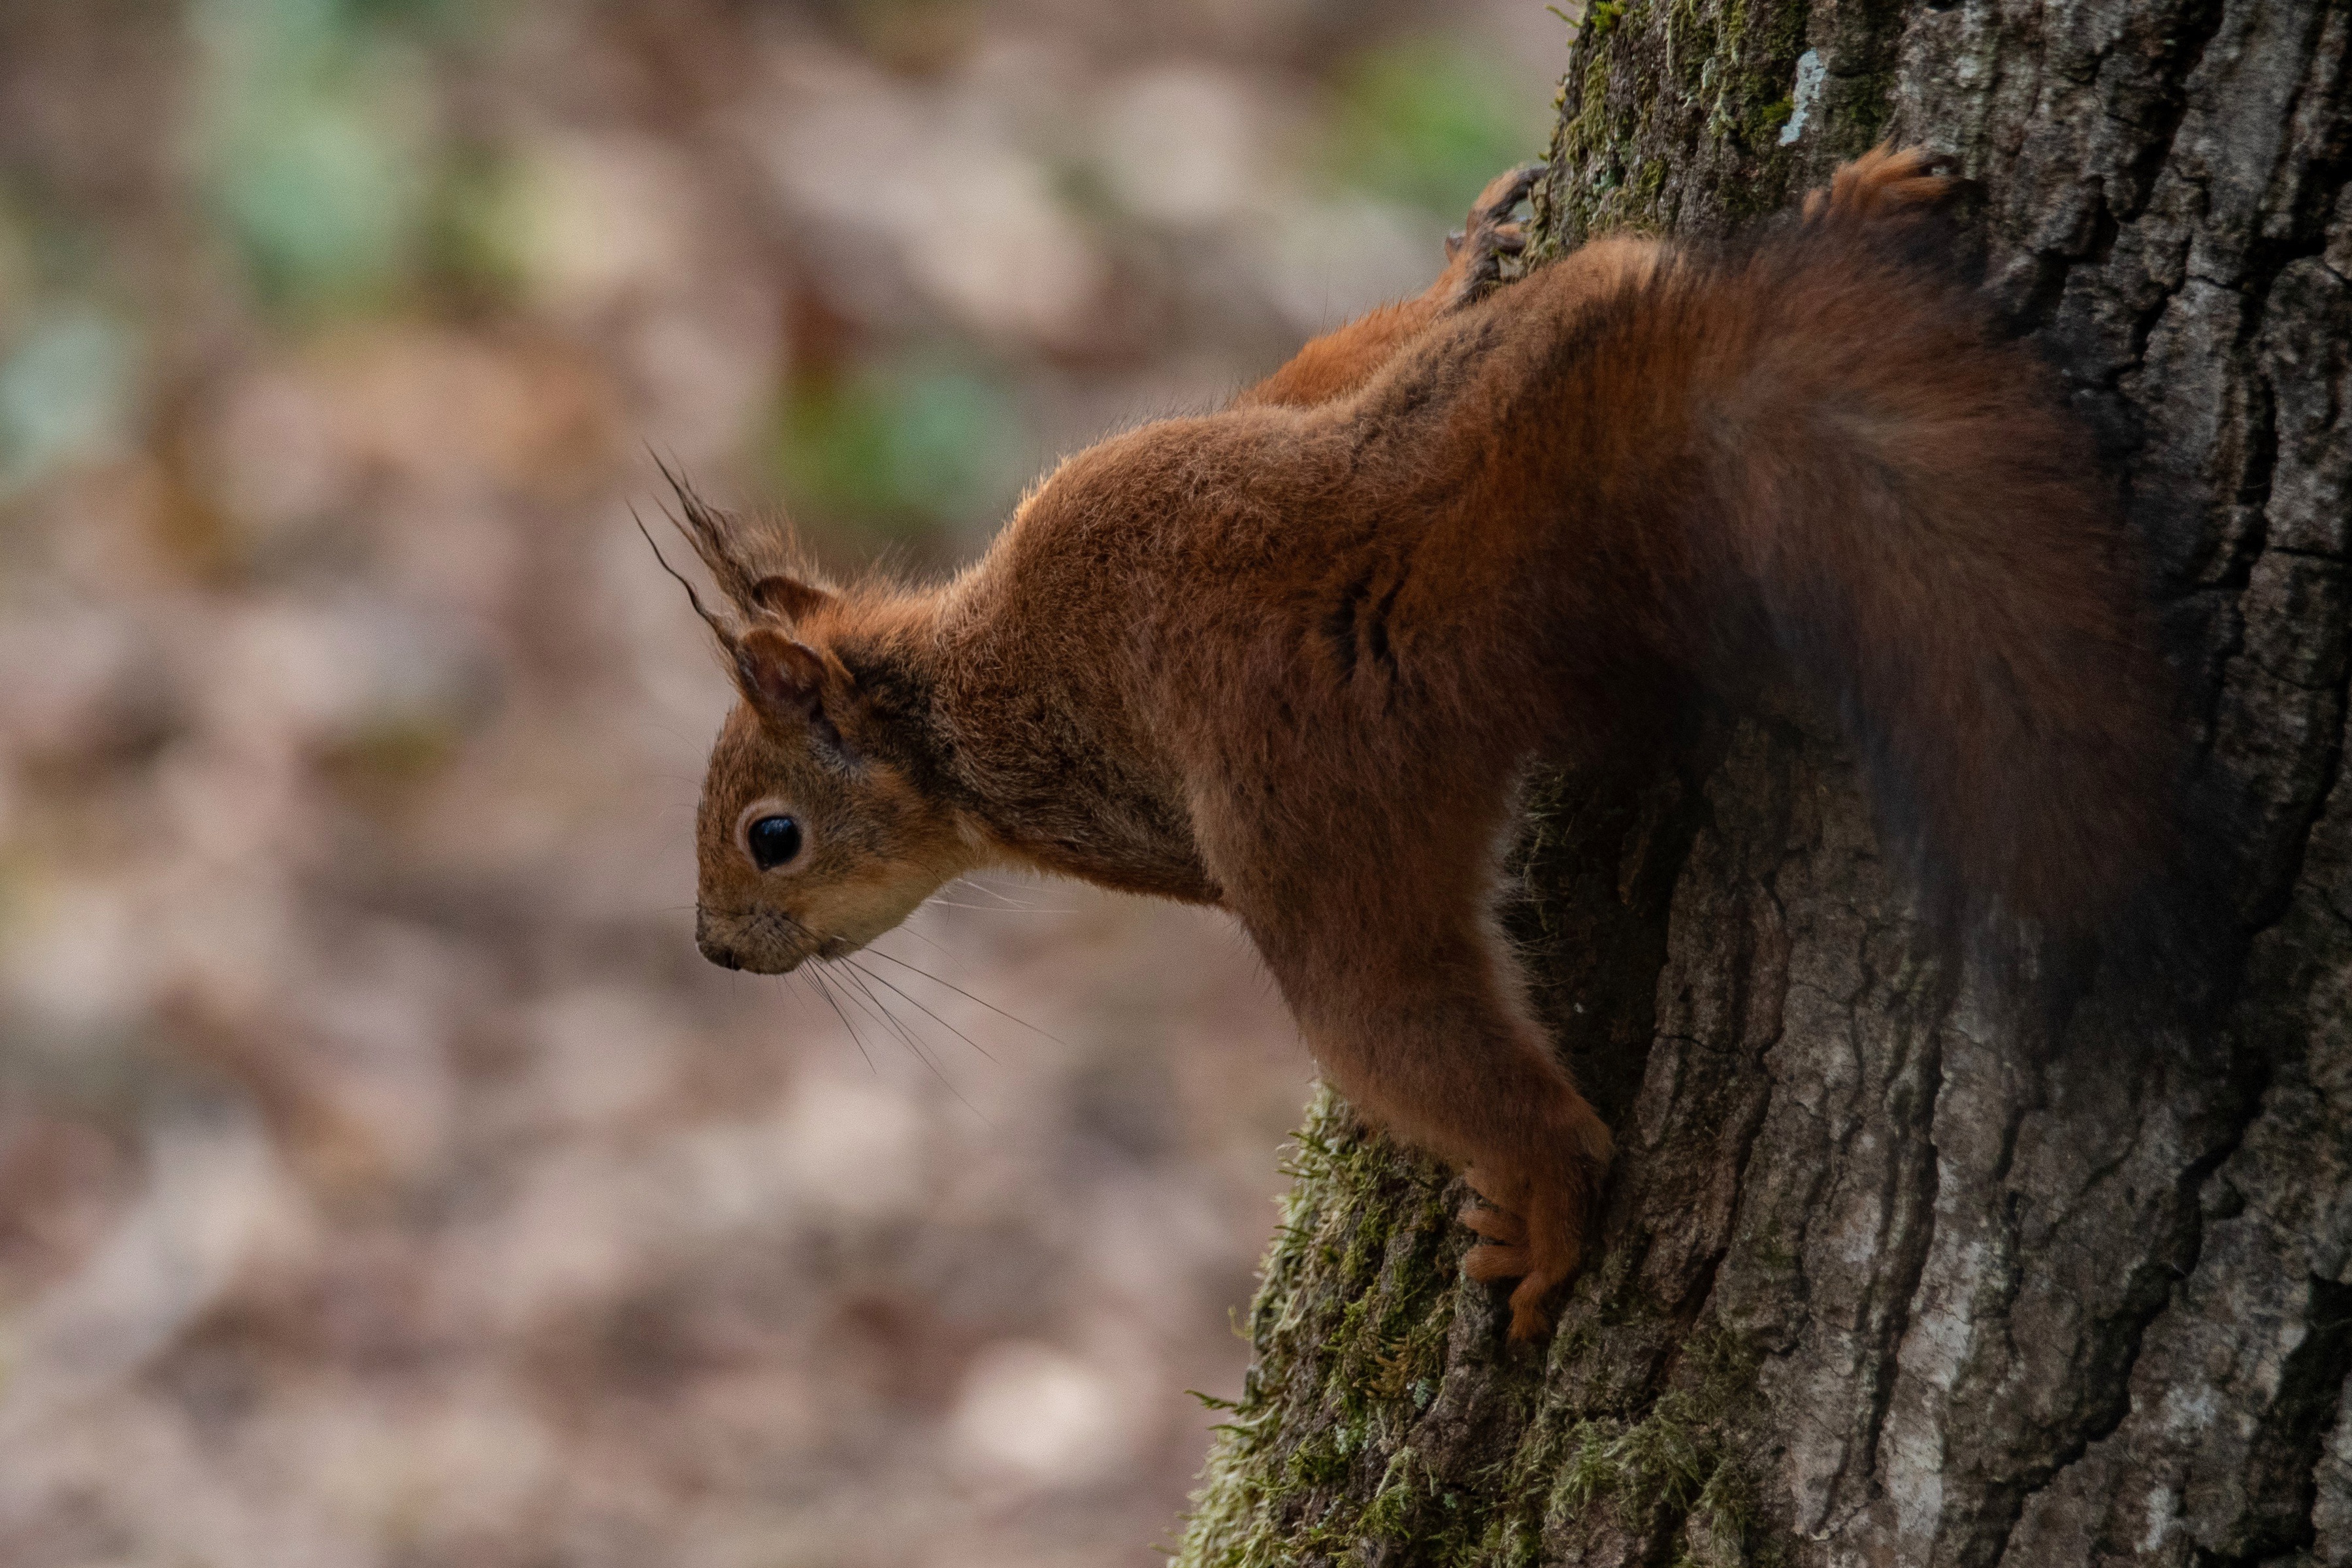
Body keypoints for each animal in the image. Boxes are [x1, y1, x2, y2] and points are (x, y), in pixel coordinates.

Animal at [663, 152, 2164, 1345]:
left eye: (771, 839)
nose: (717, 952)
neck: (948, 701)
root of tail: (1400, 554)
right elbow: (1330, 361)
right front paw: (1467, 253)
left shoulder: (1109, 807)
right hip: (1547, 345)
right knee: (1648, 282)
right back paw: (1844, 216)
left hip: (1318, 845)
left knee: (1432, 1054)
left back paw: (1543, 1197)